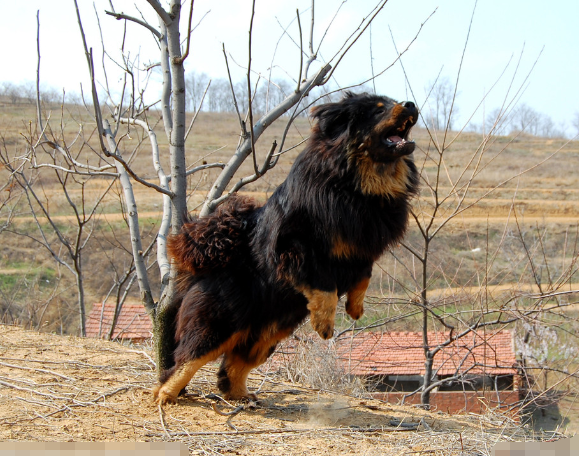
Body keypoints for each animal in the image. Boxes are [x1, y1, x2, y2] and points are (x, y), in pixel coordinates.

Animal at [154, 91, 420, 404]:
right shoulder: (298, 245)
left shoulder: (362, 248)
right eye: (379, 110)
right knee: (186, 359)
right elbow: (325, 287)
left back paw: (242, 396)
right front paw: (324, 324)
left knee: (234, 365)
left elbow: (364, 276)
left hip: (268, 332)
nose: (411, 104)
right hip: (220, 322)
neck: (359, 186)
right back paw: (166, 395)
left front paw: (355, 307)